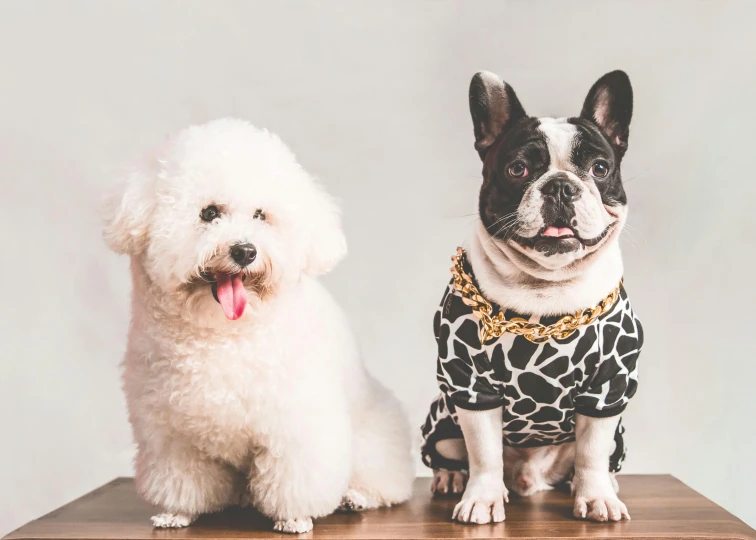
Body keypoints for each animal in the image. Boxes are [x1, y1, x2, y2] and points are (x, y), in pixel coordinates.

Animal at [102, 117, 414, 532]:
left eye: (261, 215)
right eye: (209, 213)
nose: (245, 251)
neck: (223, 336)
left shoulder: (296, 426)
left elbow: (295, 476)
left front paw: (294, 518)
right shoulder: (171, 435)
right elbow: (180, 479)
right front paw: (177, 511)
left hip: (371, 439)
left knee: (383, 480)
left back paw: (356, 496)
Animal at [420, 71, 644, 524]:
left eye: (599, 168)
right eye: (517, 169)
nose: (559, 186)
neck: (546, 287)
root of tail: (531, 479)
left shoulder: (608, 388)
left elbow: (592, 451)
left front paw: (596, 497)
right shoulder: (470, 387)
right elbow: (484, 453)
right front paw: (482, 498)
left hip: (618, 436)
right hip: (442, 422)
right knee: (452, 452)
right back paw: (451, 478)